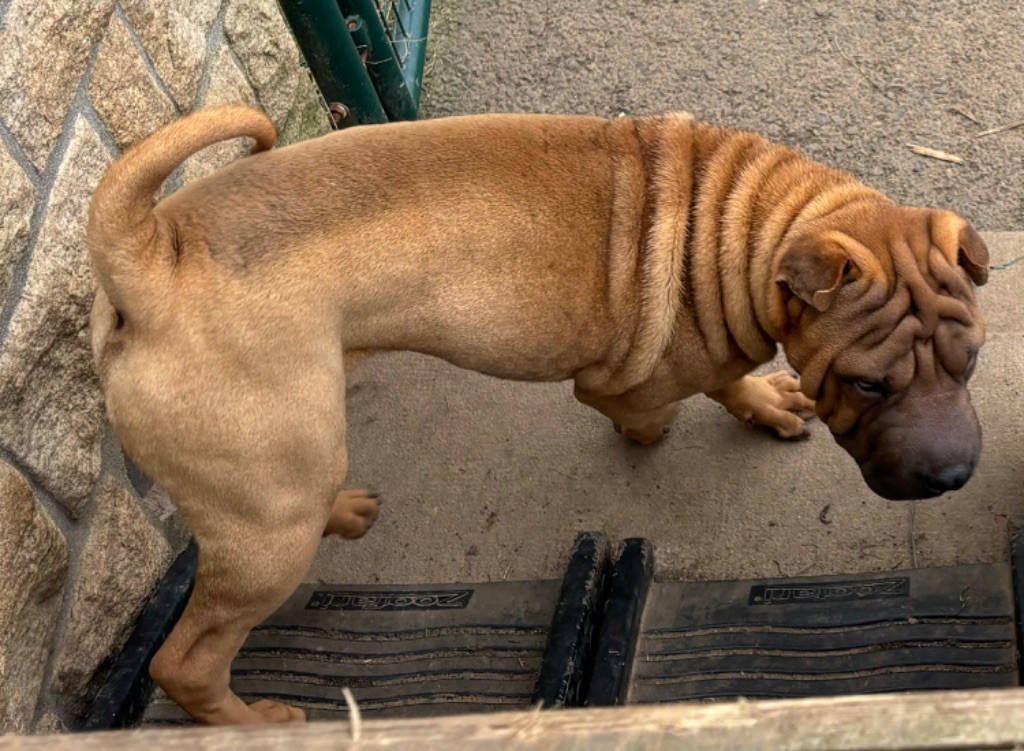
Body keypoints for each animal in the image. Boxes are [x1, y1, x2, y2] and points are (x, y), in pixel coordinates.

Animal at [88, 106, 987, 724]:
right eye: (868, 386)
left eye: (971, 358)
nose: (954, 475)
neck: (747, 227)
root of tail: (150, 253)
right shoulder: (624, 380)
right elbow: (668, 398)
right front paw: (659, 429)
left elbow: (730, 378)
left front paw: (761, 398)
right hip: (264, 529)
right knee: (188, 660)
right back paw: (254, 720)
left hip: (287, 470)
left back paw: (340, 510)